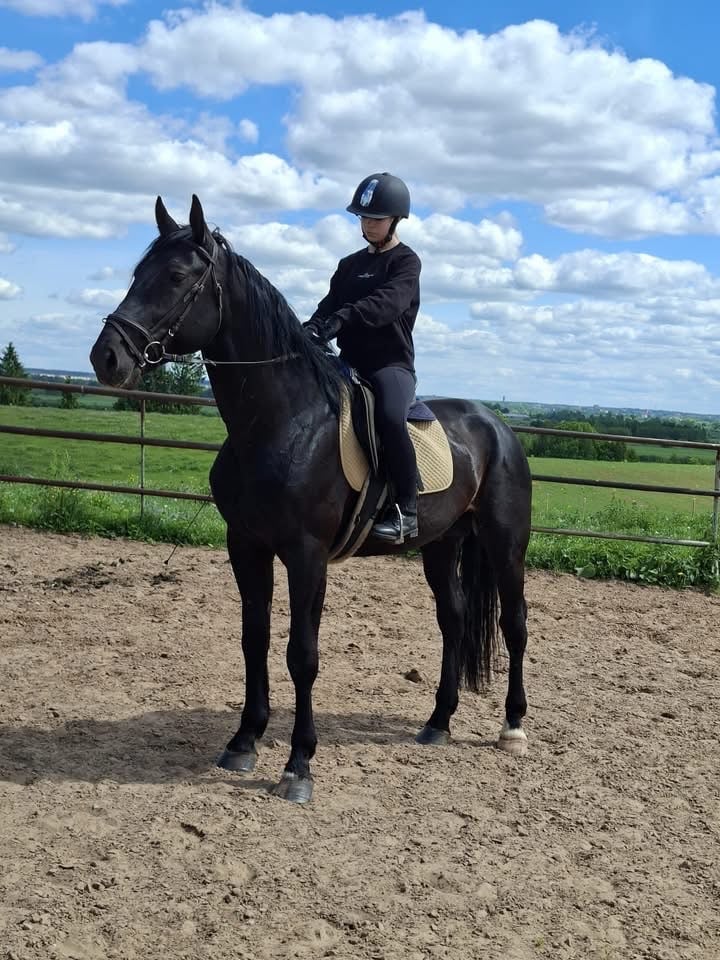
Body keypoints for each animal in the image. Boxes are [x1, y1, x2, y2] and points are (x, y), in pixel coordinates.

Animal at [89, 195, 533, 804]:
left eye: (176, 276)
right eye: (138, 274)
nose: (106, 358)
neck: (282, 422)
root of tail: (498, 425)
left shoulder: (306, 555)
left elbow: (302, 654)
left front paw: (299, 765)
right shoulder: (245, 545)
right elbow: (254, 639)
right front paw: (243, 742)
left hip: (505, 543)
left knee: (515, 623)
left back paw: (513, 727)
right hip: (442, 545)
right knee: (454, 619)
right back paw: (437, 723)